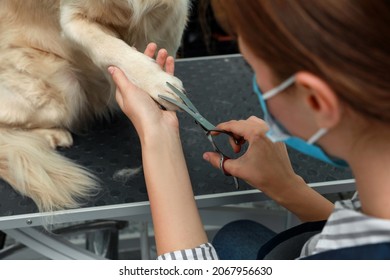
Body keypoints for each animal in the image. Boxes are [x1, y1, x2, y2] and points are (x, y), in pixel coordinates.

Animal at [0, 0, 190, 212]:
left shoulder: (172, 15)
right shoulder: (71, 19)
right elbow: (106, 46)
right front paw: (155, 81)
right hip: (65, 93)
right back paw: (55, 135)